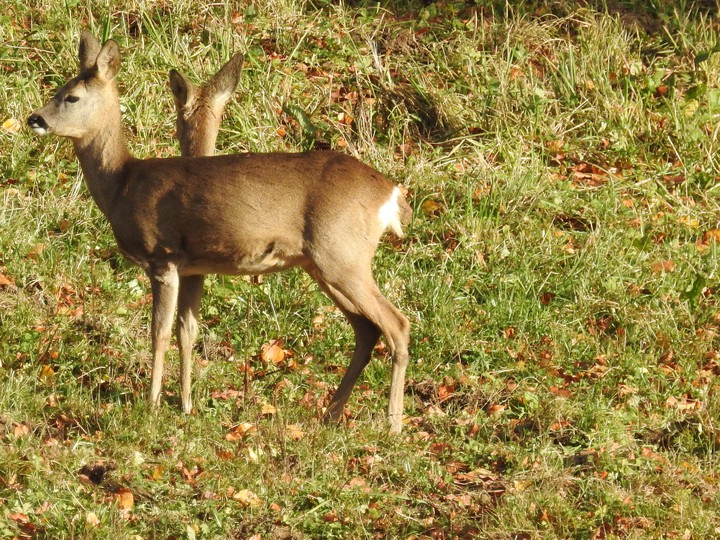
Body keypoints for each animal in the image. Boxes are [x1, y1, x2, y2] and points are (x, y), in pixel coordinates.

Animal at [28, 31, 410, 432]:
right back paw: (331, 415)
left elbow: (159, 332)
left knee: (397, 324)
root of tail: (390, 192)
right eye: (58, 87)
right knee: (367, 329)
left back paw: (393, 425)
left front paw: (151, 406)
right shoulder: (193, 266)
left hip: (342, 254)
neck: (123, 183)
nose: (34, 118)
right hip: (323, 262)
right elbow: (188, 331)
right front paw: (185, 405)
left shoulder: (162, 257)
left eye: (72, 96)